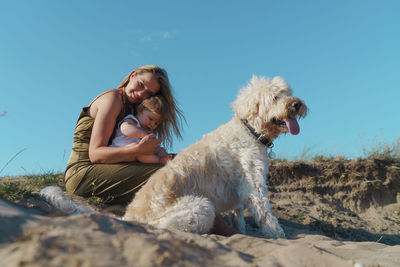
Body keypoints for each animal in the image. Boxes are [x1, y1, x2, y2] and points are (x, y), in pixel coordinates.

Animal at [123, 76, 308, 239]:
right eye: (274, 97)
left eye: (288, 92)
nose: (297, 103)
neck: (250, 130)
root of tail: (128, 218)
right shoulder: (254, 183)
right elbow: (265, 214)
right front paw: (278, 235)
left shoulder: (240, 189)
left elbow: (238, 215)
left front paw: (240, 231)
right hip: (201, 207)